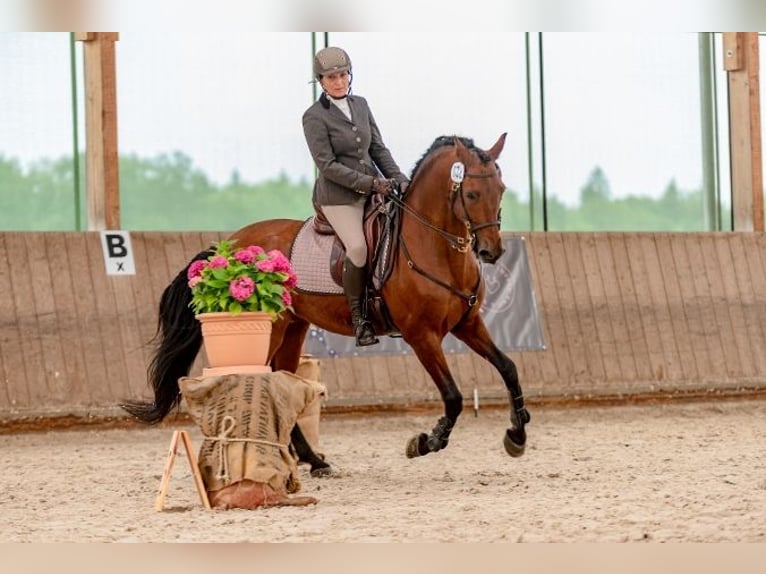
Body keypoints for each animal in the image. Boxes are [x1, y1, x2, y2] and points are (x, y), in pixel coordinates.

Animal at [123, 134, 532, 472]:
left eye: (501, 189)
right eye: (472, 194)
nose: (491, 252)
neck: (434, 248)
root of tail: (229, 245)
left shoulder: (468, 325)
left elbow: (509, 367)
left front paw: (517, 433)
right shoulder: (422, 336)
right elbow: (453, 396)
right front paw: (425, 442)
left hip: (293, 327)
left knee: (280, 381)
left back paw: (311, 459)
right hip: (268, 330)